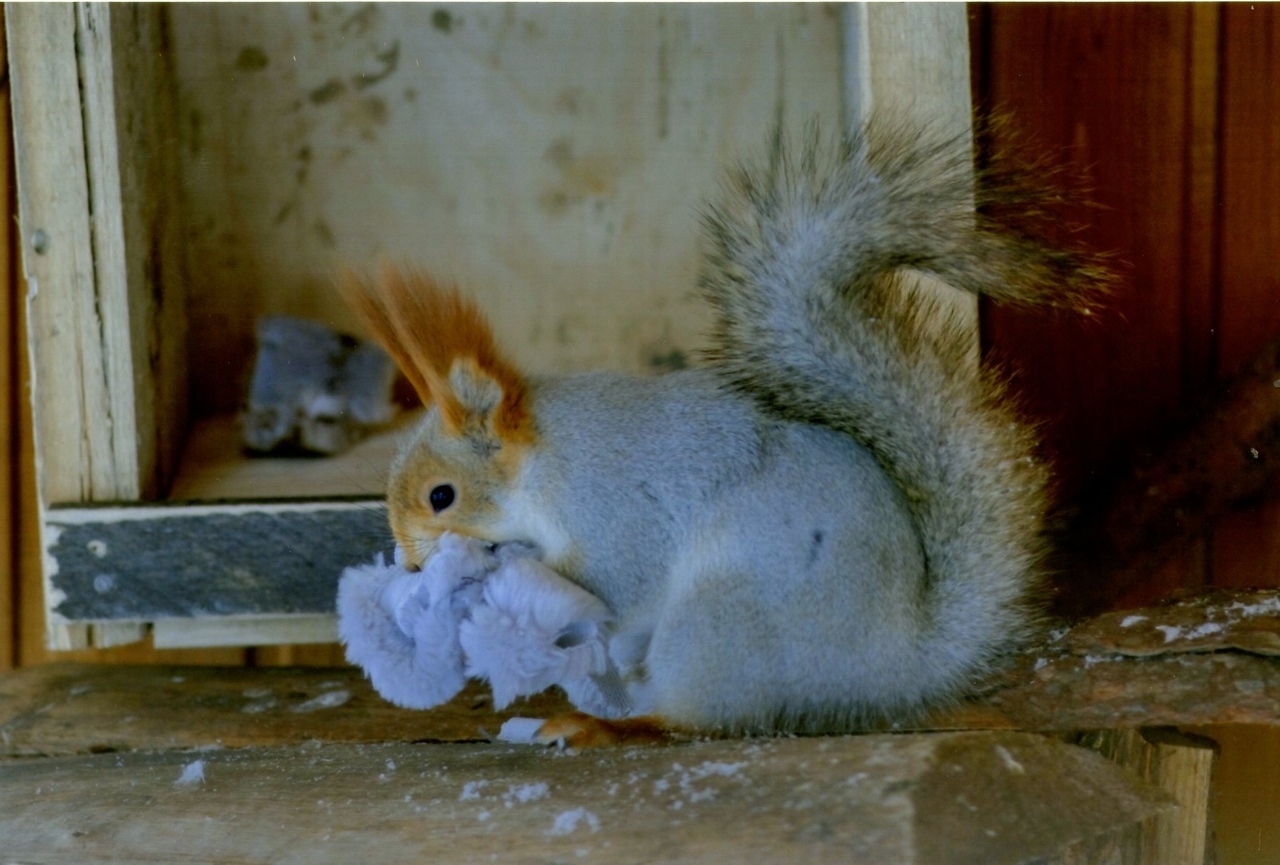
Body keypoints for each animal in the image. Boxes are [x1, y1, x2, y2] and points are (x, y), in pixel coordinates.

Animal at [343, 118, 1111, 742]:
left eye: (441, 496)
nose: (410, 565)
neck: (546, 461)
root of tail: (891, 666)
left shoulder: (616, 503)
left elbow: (613, 578)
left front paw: (498, 578)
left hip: (720, 622)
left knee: (700, 718)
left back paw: (608, 725)